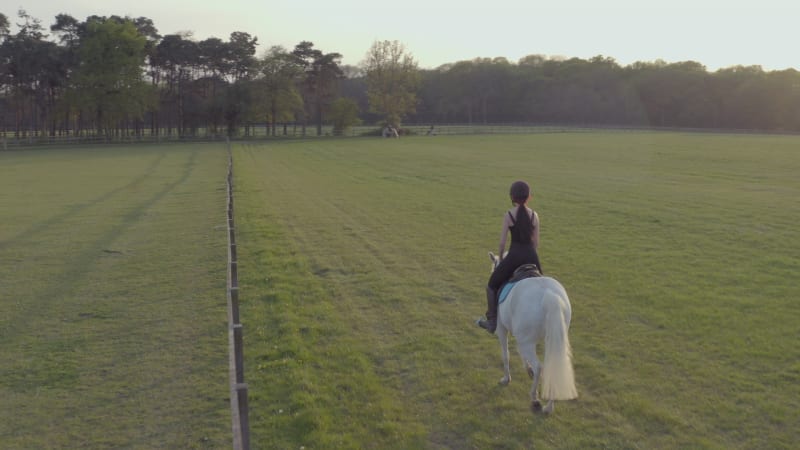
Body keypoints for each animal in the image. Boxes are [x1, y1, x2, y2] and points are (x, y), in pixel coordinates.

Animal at [488, 251, 576, 414]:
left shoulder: (502, 329)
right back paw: (548, 407)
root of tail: (548, 294)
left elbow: (506, 355)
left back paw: (535, 399)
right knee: (551, 366)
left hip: (527, 341)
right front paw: (527, 370)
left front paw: (506, 379)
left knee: (539, 367)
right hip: (552, 338)